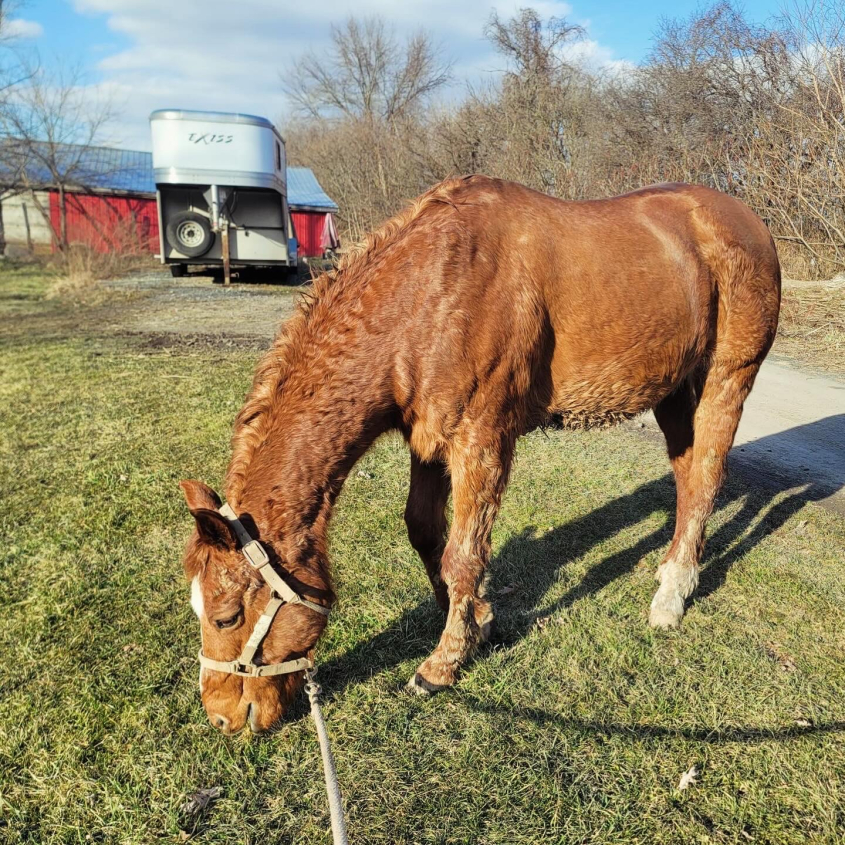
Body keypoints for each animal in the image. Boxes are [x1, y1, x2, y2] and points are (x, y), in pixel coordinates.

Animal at [180, 176, 781, 734]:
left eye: (228, 616)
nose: (222, 718)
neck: (428, 295)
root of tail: (744, 218)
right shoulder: (428, 442)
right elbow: (425, 533)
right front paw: (479, 620)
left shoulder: (481, 443)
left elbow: (464, 555)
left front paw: (443, 663)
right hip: (673, 388)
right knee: (686, 478)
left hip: (728, 378)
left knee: (706, 478)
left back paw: (673, 596)